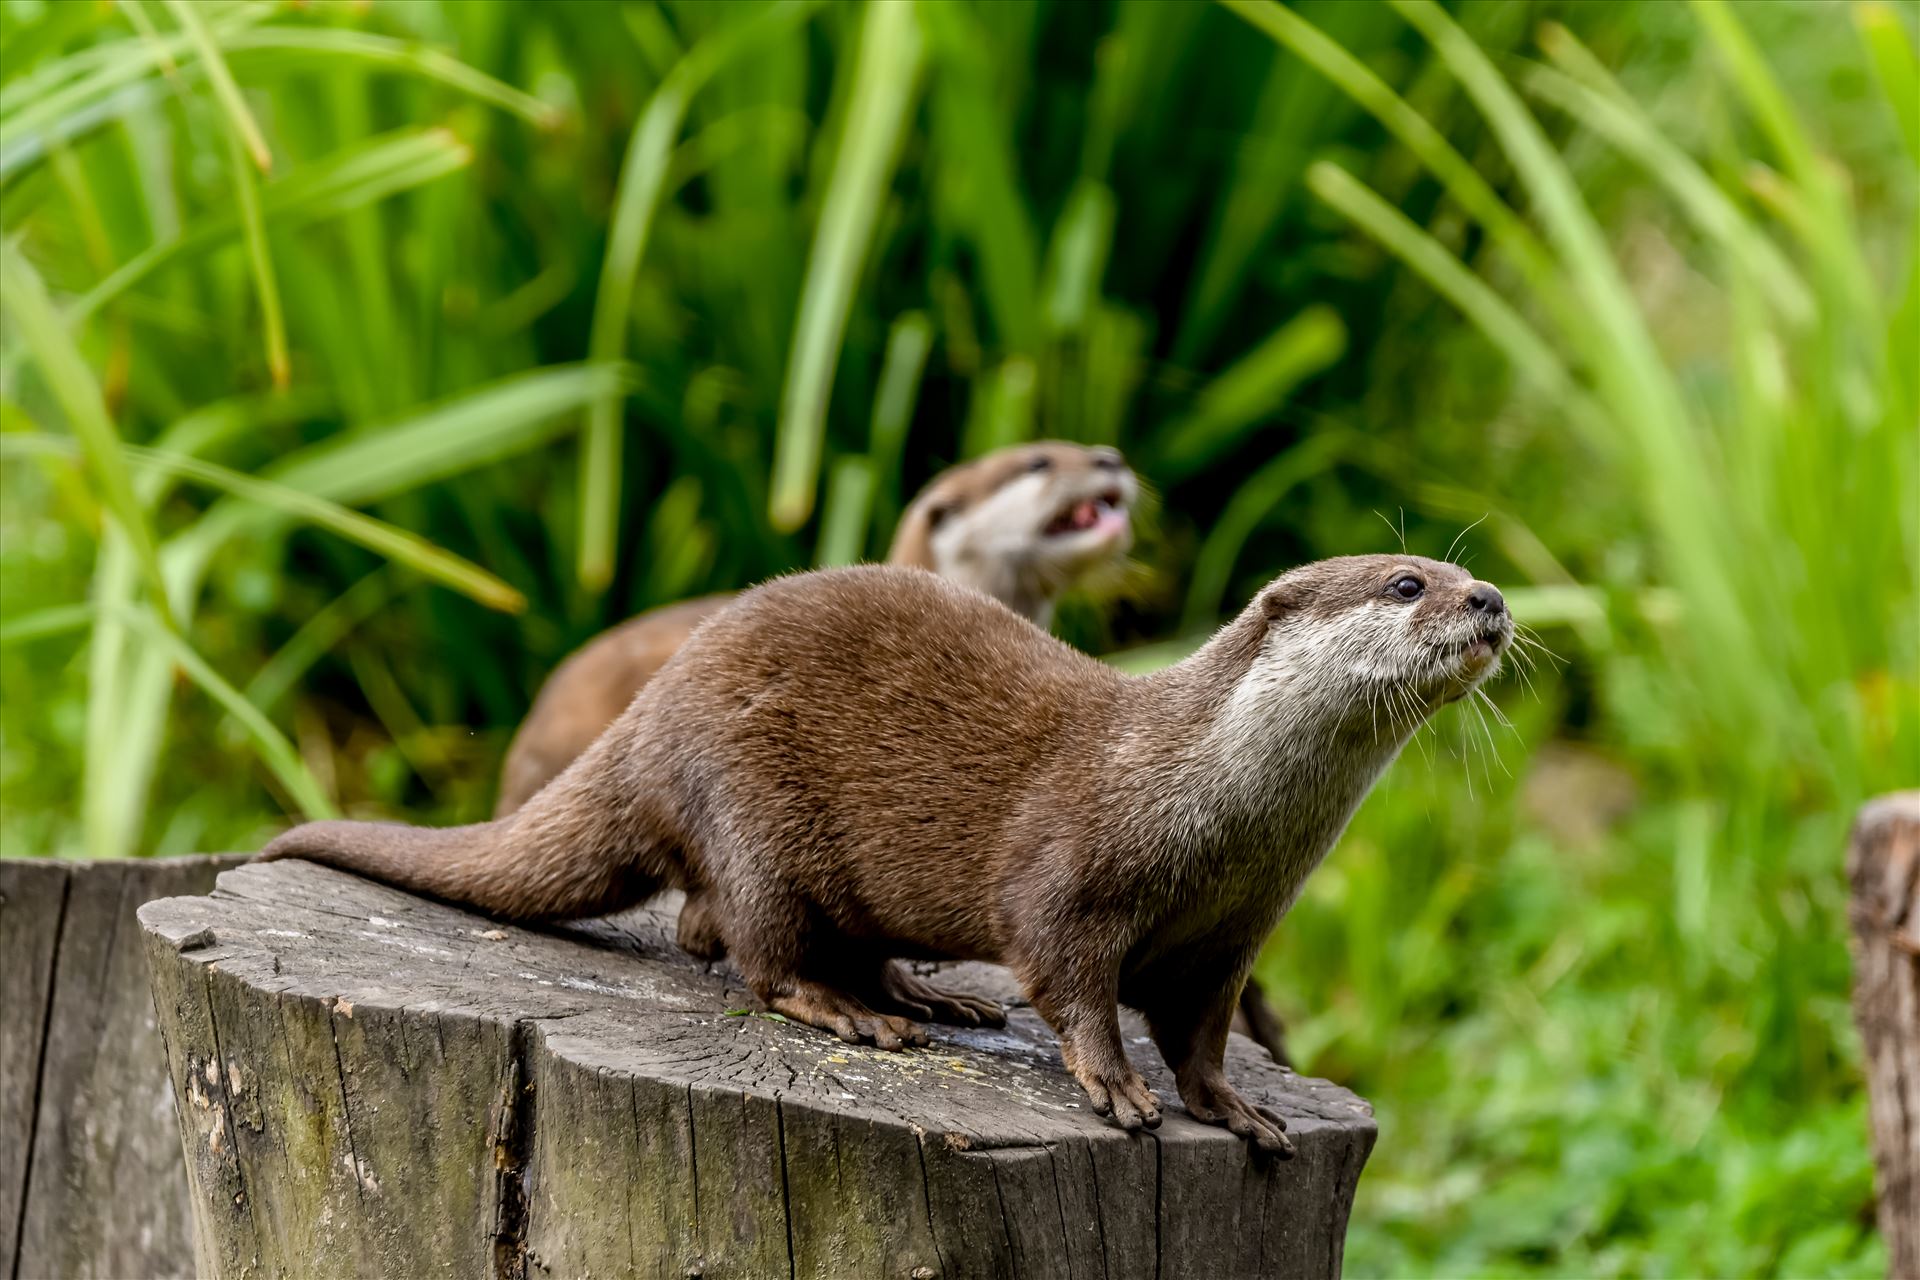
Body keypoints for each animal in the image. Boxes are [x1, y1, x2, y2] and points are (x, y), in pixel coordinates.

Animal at [259, 556, 1512, 1159]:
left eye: (1454, 570)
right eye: (1407, 581)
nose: (1494, 596)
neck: (1209, 799)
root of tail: (653, 705)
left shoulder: (1232, 935)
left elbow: (1200, 1034)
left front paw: (1239, 1111)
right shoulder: (1074, 871)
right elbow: (1071, 980)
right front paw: (1114, 1086)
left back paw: (925, 991)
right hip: (754, 809)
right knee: (745, 946)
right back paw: (856, 1011)